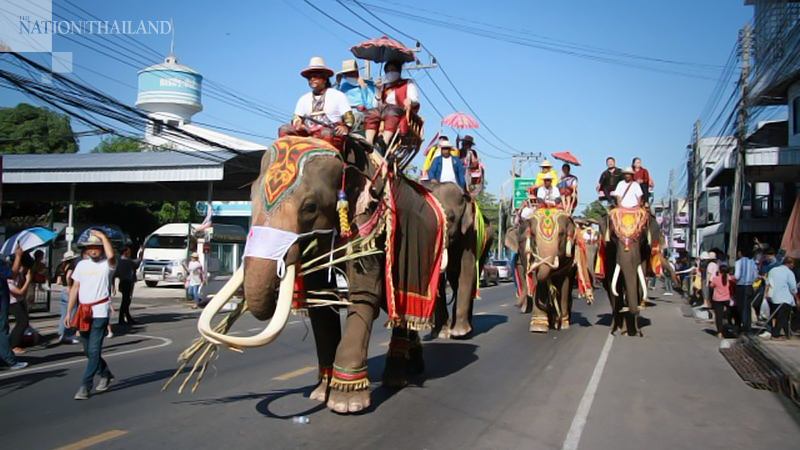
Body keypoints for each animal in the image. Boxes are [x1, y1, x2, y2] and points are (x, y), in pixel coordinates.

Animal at [198, 135, 454, 414]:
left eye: (310, 207)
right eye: (250, 196)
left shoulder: (368, 222)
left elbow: (364, 293)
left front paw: (347, 402)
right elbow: (319, 298)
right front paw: (320, 393)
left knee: (401, 300)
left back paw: (396, 379)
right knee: (399, 309)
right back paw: (413, 366)